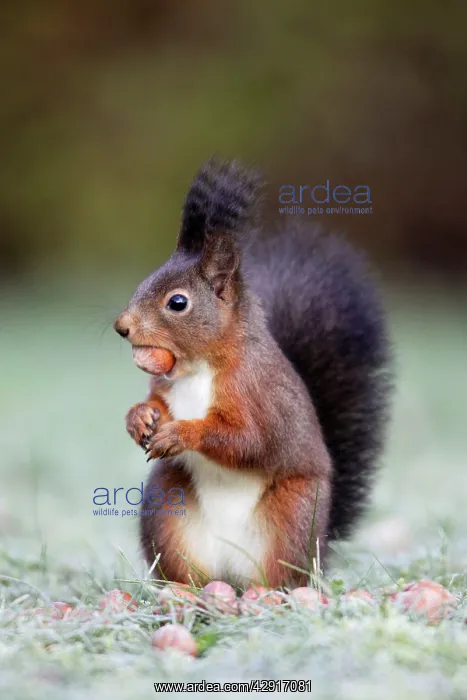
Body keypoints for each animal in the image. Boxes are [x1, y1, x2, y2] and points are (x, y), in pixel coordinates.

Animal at [114, 158, 392, 588]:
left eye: (177, 302)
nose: (122, 326)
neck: (199, 367)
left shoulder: (256, 392)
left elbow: (249, 440)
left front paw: (182, 433)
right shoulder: (166, 387)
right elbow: (157, 401)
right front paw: (139, 417)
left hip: (291, 517)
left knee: (280, 575)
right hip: (167, 509)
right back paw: (184, 592)